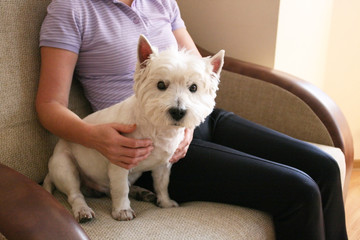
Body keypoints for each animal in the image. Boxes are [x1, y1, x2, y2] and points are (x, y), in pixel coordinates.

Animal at [43, 34, 225, 222]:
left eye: (193, 87)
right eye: (161, 85)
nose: (178, 112)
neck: (158, 129)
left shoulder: (163, 165)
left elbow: (162, 184)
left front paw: (165, 202)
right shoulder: (119, 162)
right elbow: (120, 189)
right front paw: (122, 210)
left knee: (111, 189)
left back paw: (141, 192)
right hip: (64, 165)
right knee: (75, 193)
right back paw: (83, 210)